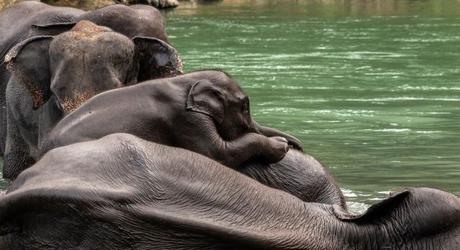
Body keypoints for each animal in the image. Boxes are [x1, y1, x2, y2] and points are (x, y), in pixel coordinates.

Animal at [41, 69, 304, 172]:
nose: (298, 145)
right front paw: (280, 146)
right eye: (245, 106)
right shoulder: (186, 118)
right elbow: (218, 154)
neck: (188, 80)